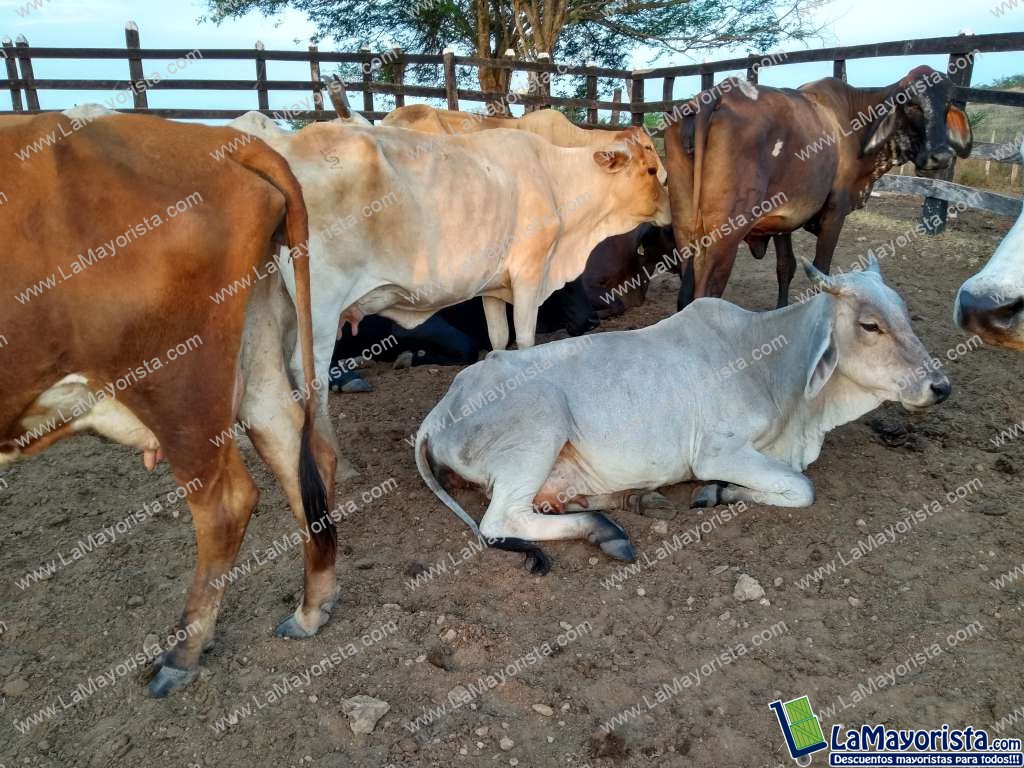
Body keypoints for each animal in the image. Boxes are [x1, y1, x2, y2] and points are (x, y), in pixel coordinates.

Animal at [0, 112, 338, 698]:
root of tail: (221, 141)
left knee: (226, 502)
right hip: (255, 357)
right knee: (298, 456)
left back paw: (183, 653)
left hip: (175, 386)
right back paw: (311, 608)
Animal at [415, 259, 951, 574]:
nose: (940, 387)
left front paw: (719, 494)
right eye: (870, 325)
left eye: (905, 313)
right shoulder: (718, 451)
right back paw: (608, 530)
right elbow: (802, 488)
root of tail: (442, 407)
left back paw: (630, 502)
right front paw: (719, 491)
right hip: (537, 433)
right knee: (499, 521)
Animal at [665, 66, 973, 310]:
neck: (855, 121)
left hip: (685, 229)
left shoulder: (782, 219)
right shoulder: (835, 212)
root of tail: (714, 96)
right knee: (704, 295)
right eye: (910, 104)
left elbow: (785, 267)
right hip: (724, 234)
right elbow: (821, 273)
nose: (941, 156)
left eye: (949, 105)